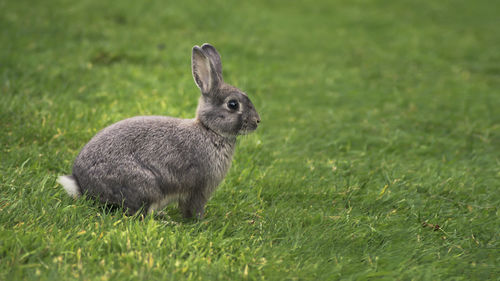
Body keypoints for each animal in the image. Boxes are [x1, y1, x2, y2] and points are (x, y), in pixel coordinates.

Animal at [57, 43, 262, 218]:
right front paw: (200, 222)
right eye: (233, 104)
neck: (209, 130)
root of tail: (82, 186)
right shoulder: (199, 189)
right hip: (145, 186)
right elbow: (193, 208)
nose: (257, 121)